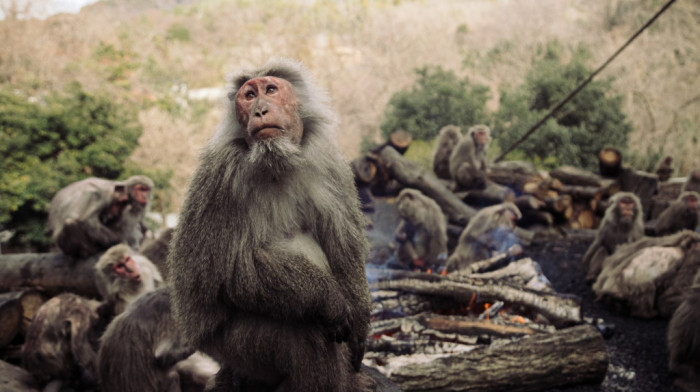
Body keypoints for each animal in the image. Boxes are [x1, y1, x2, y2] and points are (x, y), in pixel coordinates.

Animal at [168, 58, 378, 392]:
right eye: (249, 95)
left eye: (270, 90)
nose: (260, 110)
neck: (277, 161)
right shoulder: (222, 176)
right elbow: (226, 272)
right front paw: (328, 300)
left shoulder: (328, 161)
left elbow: (343, 245)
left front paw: (359, 321)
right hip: (234, 345)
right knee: (307, 336)